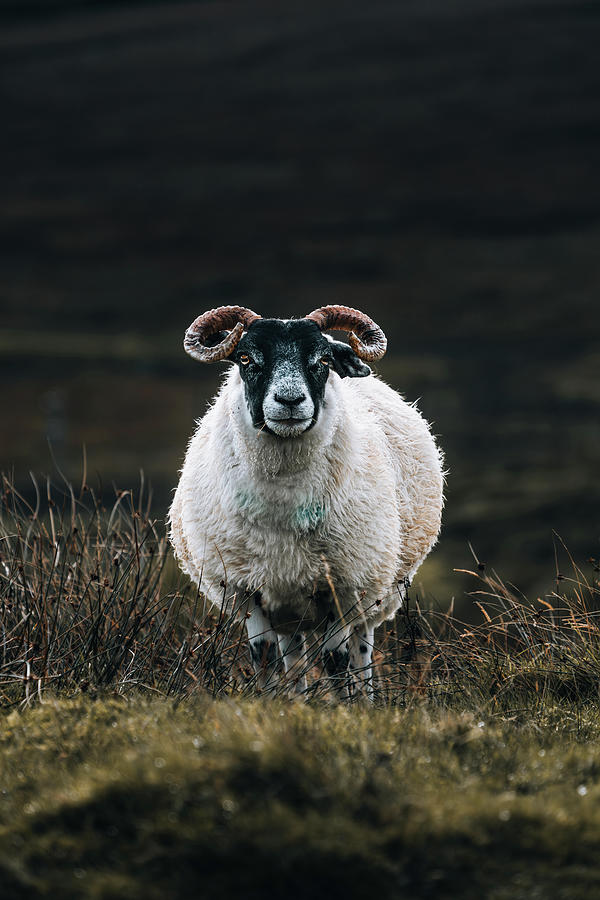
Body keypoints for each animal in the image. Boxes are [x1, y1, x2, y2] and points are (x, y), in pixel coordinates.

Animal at [166, 304, 442, 696]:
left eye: (323, 359)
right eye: (245, 358)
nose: (289, 401)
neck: (283, 498)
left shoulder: (343, 588)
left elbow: (336, 662)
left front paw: (342, 707)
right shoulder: (248, 590)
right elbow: (263, 657)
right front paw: (270, 703)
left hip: (372, 594)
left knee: (360, 655)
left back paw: (365, 700)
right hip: (288, 606)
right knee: (293, 658)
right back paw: (296, 697)